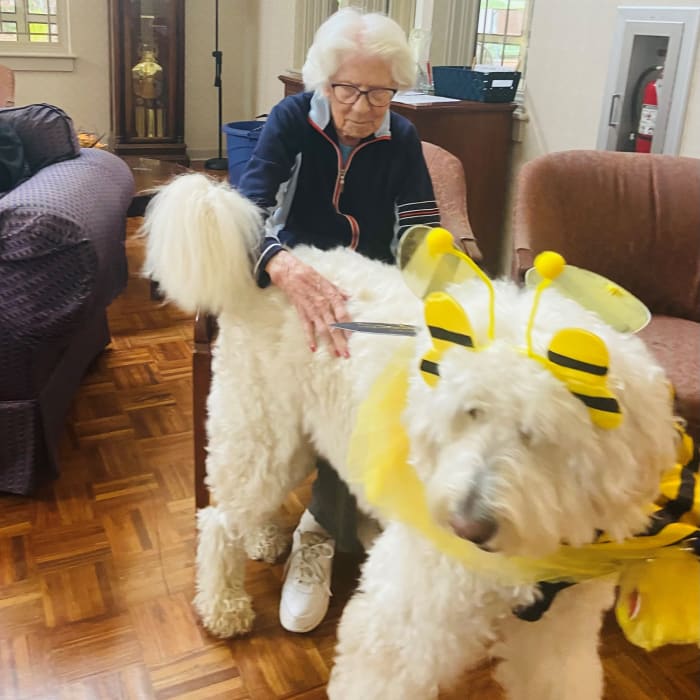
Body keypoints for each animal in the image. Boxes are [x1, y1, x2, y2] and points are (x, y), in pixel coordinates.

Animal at [144, 174, 680, 700]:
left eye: (538, 434)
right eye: (470, 412)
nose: (466, 527)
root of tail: (276, 267)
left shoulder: (559, 637)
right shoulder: (402, 625)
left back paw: (261, 539)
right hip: (262, 433)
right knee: (219, 519)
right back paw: (223, 606)